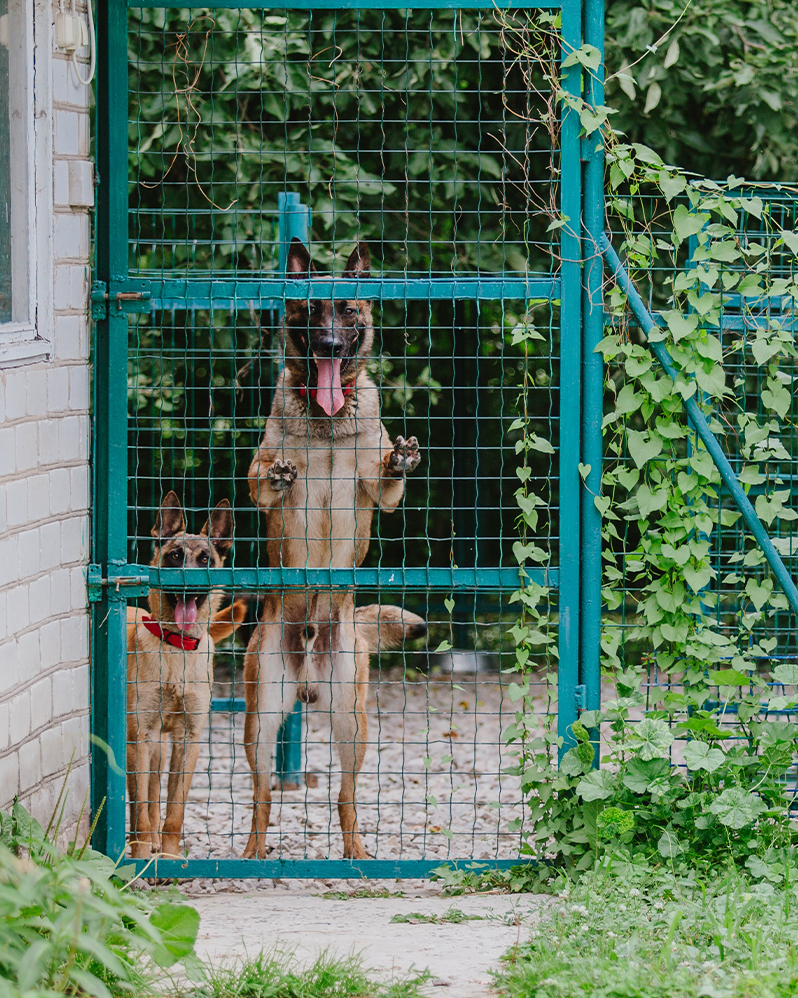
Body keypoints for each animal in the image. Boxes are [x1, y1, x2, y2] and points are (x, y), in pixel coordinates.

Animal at [126, 492, 241, 860]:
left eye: (205, 560)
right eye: (175, 555)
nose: (189, 585)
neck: (177, 646)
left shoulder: (187, 740)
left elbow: (174, 809)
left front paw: (171, 855)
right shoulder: (141, 737)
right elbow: (140, 807)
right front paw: (141, 856)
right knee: (144, 799)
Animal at [247, 240, 424, 860]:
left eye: (346, 310)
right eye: (310, 310)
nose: (326, 345)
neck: (326, 419)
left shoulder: (381, 492)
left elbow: (388, 477)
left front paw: (401, 458)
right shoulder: (254, 481)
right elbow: (262, 477)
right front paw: (280, 474)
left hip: (353, 724)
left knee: (346, 796)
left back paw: (356, 854)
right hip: (260, 721)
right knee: (261, 795)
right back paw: (249, 854)